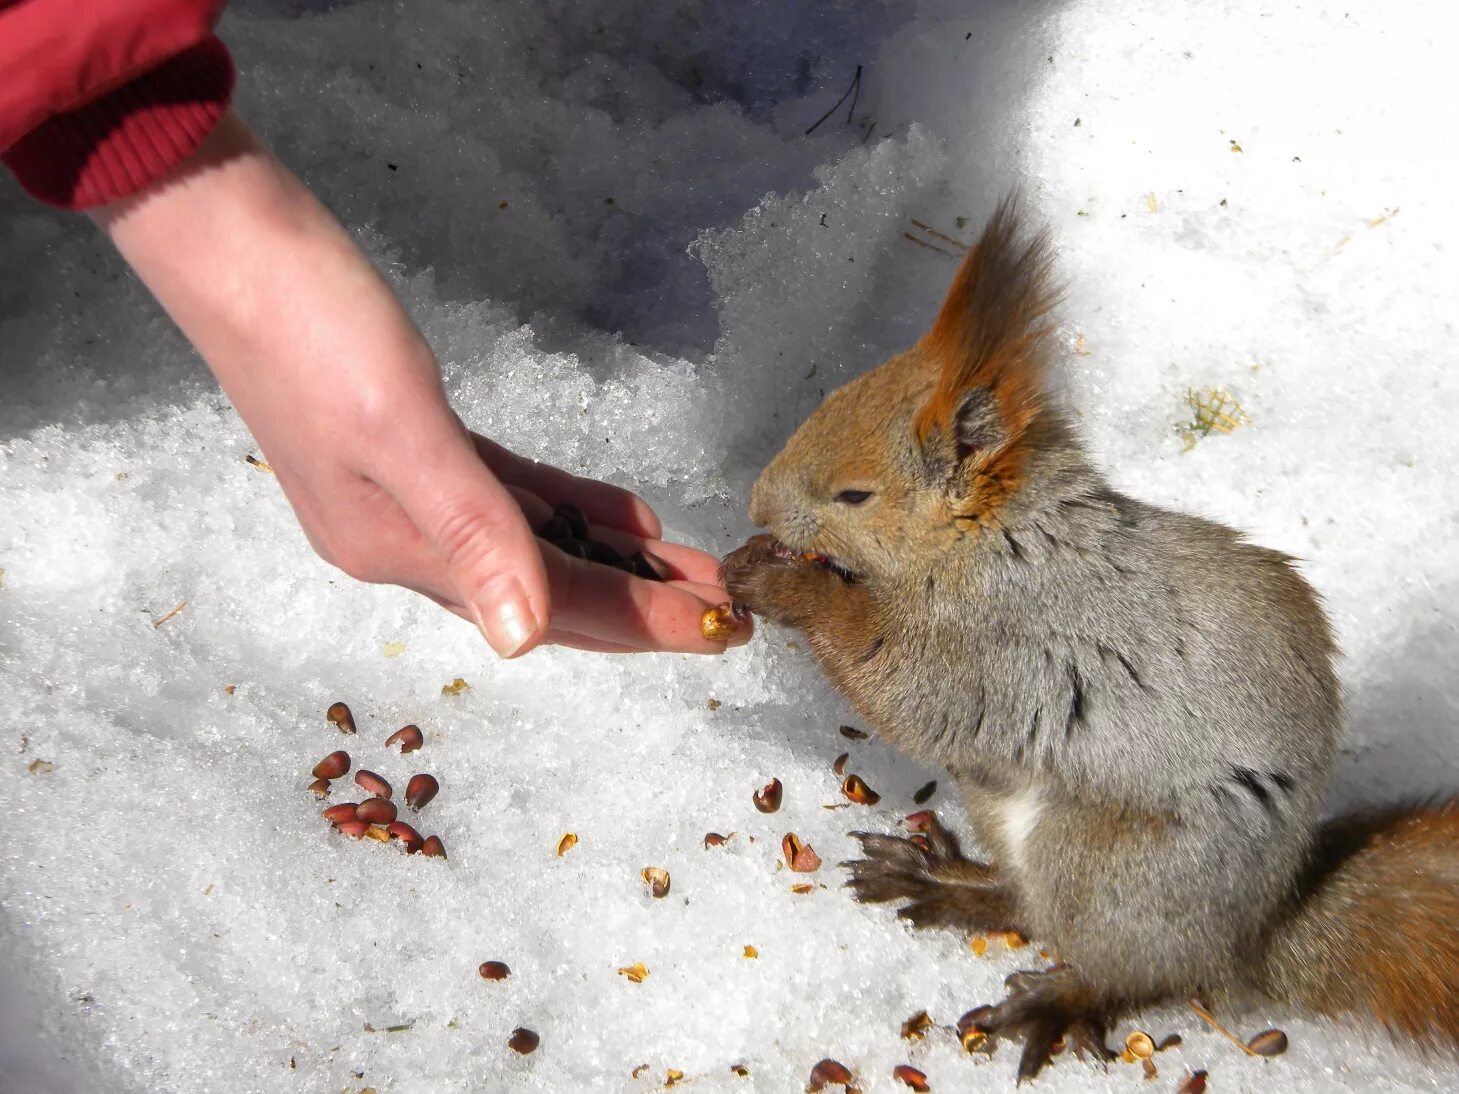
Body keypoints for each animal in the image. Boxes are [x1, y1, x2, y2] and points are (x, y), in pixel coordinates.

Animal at [717, 199, 1459, 1091]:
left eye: (854, 495)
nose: (756, 505)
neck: (994, 540)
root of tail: (1251, 940)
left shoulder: (1021, 644)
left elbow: (909, 687)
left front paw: (781, 584)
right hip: (1008, 815)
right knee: (1025, 906)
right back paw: (941, 880)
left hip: (1105, 865)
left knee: (1128, 966)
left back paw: (1057, 1000)